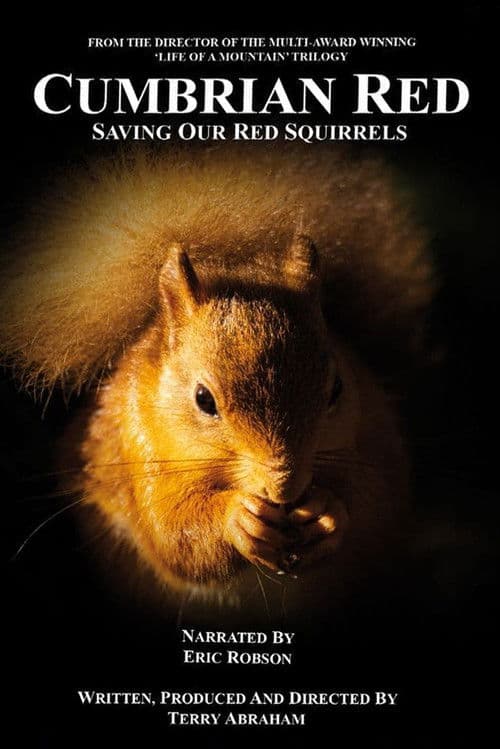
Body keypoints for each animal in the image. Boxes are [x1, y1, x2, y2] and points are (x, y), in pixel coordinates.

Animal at [0, 145, 434, 610]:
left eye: (336, 388)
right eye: (203, 399)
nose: (284, 486)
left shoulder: (372, 445)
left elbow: (373, 499)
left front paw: (326, 510)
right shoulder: (133, 449)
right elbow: (173, 535)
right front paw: (236, 520)